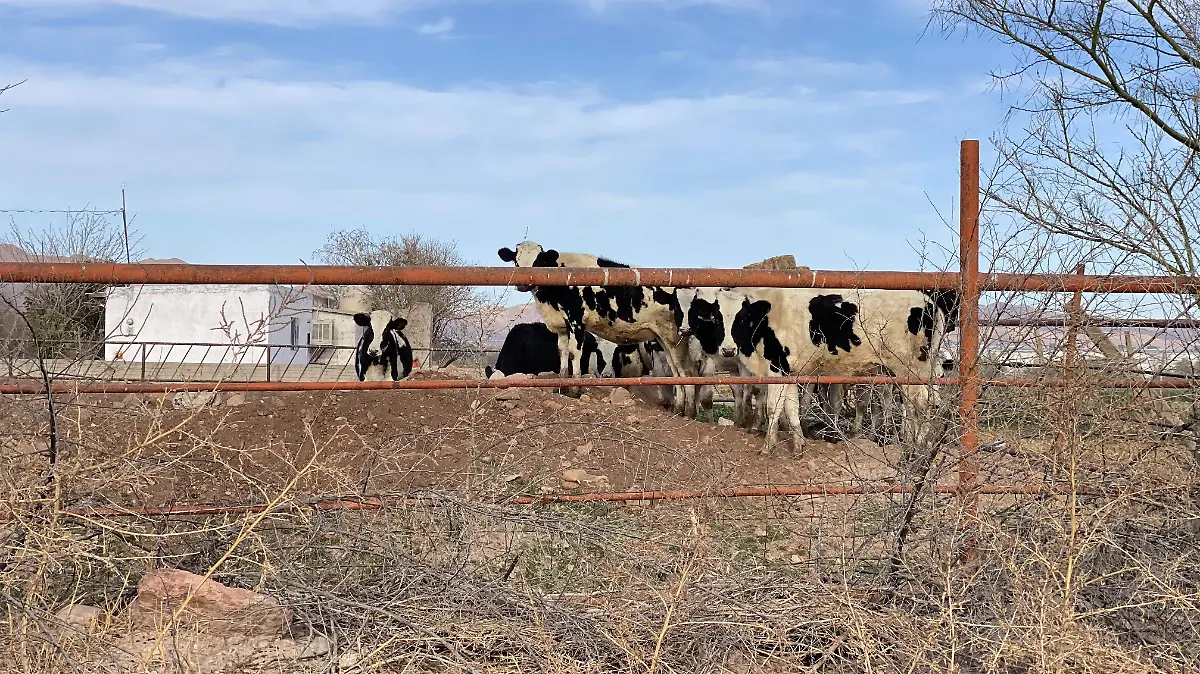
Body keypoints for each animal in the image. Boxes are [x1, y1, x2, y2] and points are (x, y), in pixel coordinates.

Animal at [497, 241, 698, 417]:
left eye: (538, 262)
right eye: (516, 261)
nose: (523, 284)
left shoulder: (576, 321)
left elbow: (574, 353)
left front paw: (574, 390)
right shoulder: (562, 327)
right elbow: (563, 353)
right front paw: (560, 386)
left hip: (675, 336)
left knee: (687, 370)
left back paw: (689, 412)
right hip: (663, 338)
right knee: (676, 370)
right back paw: (679, 409)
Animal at [678, 286, 958, 455]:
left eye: (742, 317)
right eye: (715, 317)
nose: (727, 349)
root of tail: (928, 301)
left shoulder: (776, 369)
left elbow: (772, 407)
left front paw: (768, 446)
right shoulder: (788, 373)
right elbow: (791, 408)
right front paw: (799, 445)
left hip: (912, 367)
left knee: (923, 404)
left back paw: (918, 444)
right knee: (916, 404)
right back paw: (909, 441)